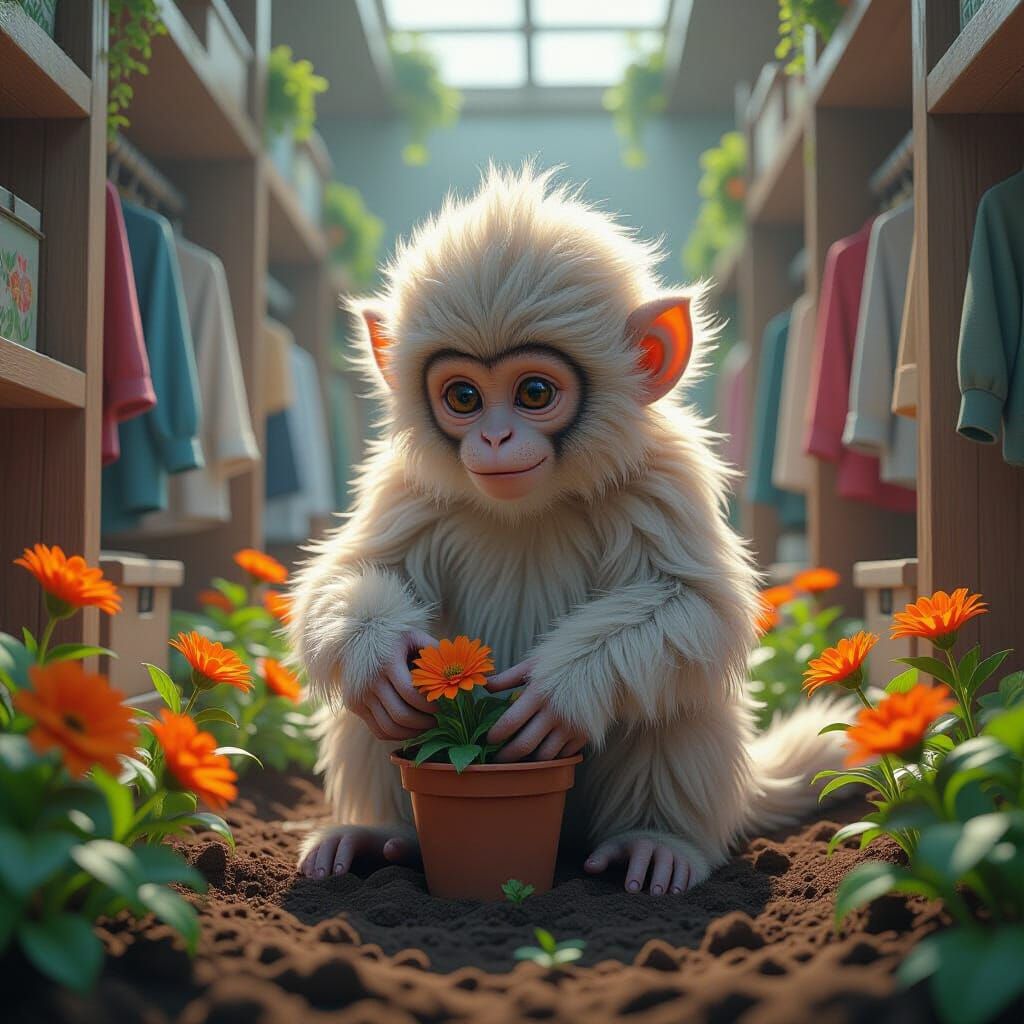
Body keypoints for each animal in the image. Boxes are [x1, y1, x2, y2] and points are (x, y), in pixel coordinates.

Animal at [290, 165, 845, 895]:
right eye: (464, 397)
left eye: (533, 393)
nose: (495, 438)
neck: (531, 506)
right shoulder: (406, 486)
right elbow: (351, 575)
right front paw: (378, 657)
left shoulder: (661, 478)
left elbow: (699, 606)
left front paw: (559, 693)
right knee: (369, 711)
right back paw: (379, 834)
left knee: (679, 689)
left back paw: (657, 842)